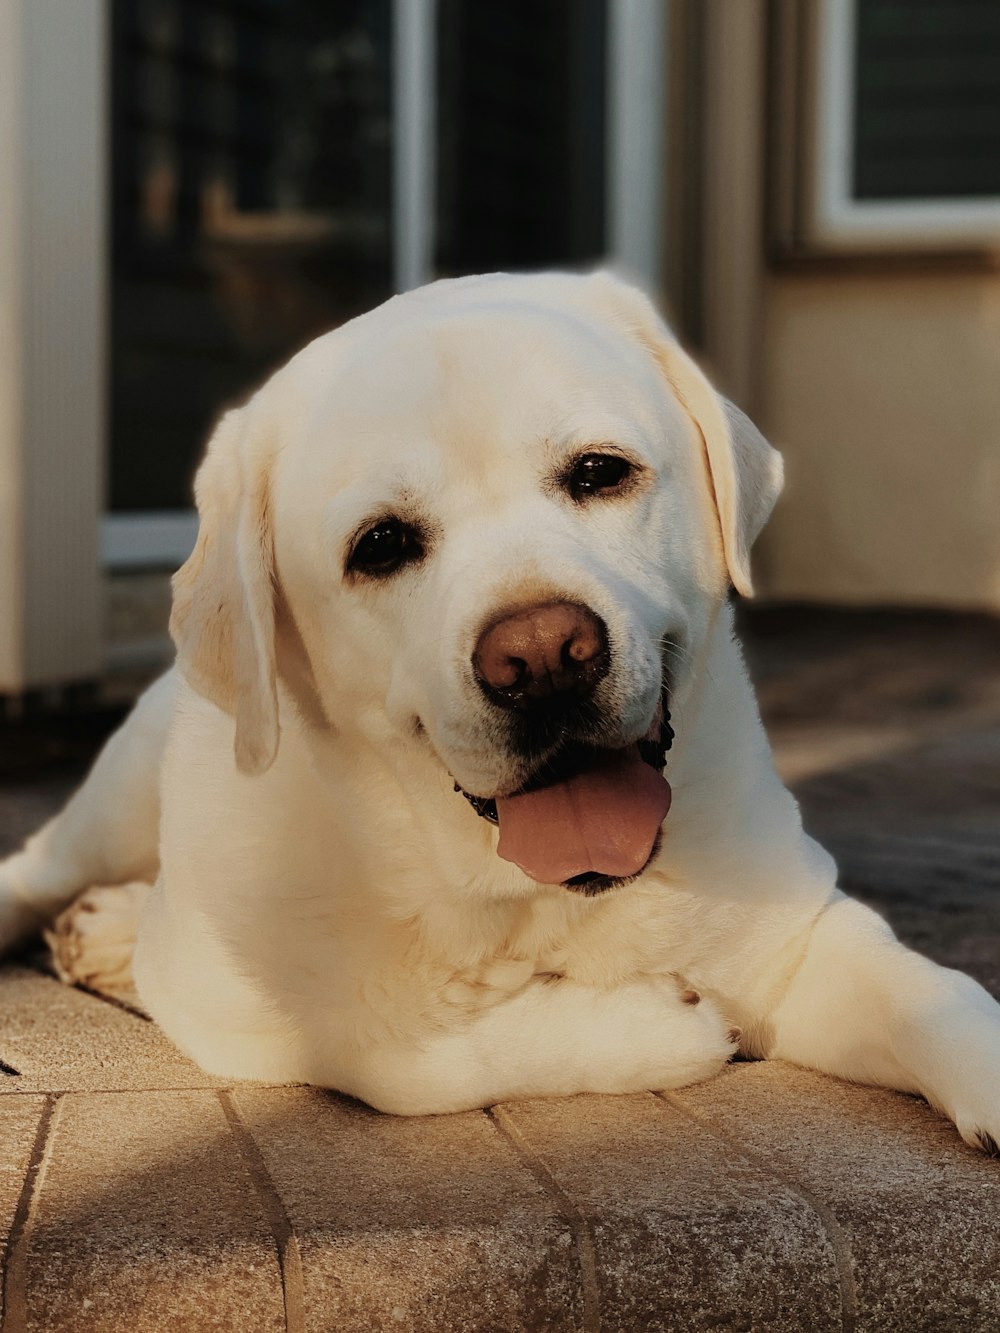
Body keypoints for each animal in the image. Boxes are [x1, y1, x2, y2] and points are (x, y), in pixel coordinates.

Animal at [1, 270, 1000, 1146]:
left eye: (599, 471)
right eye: (380, 544)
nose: (545, 657)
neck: (532, 899)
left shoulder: (795, 933)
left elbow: (940, 994)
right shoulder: (241, 1004)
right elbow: (399, 1054)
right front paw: (663, 1023)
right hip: (116, 803)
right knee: (42, 867)